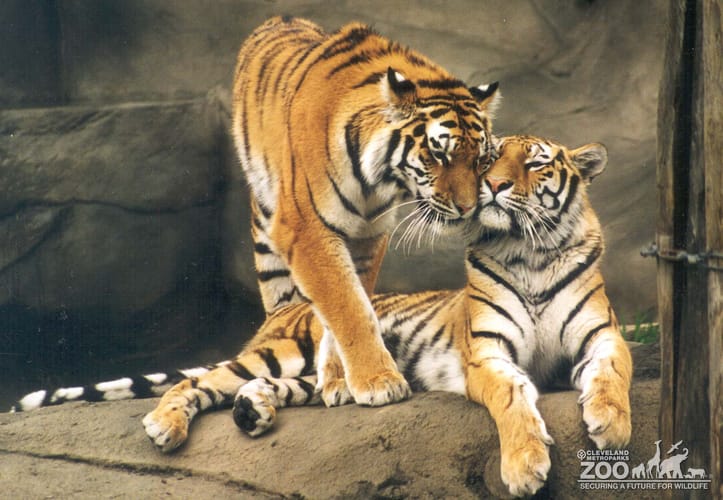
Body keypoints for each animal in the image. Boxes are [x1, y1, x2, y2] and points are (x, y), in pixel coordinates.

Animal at [12, 134, 632, 498]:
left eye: (535, 162)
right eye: (487, 159)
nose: (494, 186)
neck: (531, 252)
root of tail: (286, 306)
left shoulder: (601, 337)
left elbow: (613, 374)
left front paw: (612, 425)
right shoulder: (487, 352)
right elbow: (512, 399)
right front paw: (525, 467)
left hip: (310, 374)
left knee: (273, 390)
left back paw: (253, 413)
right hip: (284, 350)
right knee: (197, 383)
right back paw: (167, 424)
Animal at [232, 16, 500, 408]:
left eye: (480, 159)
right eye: (439, 155)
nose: (468, 208)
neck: (376, 181)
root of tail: (280, 19)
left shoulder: (367, 234)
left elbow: (348, 307)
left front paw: (339, 379)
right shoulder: (307, 229)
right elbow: (349, 307)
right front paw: (379, 382)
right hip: (267, 221)